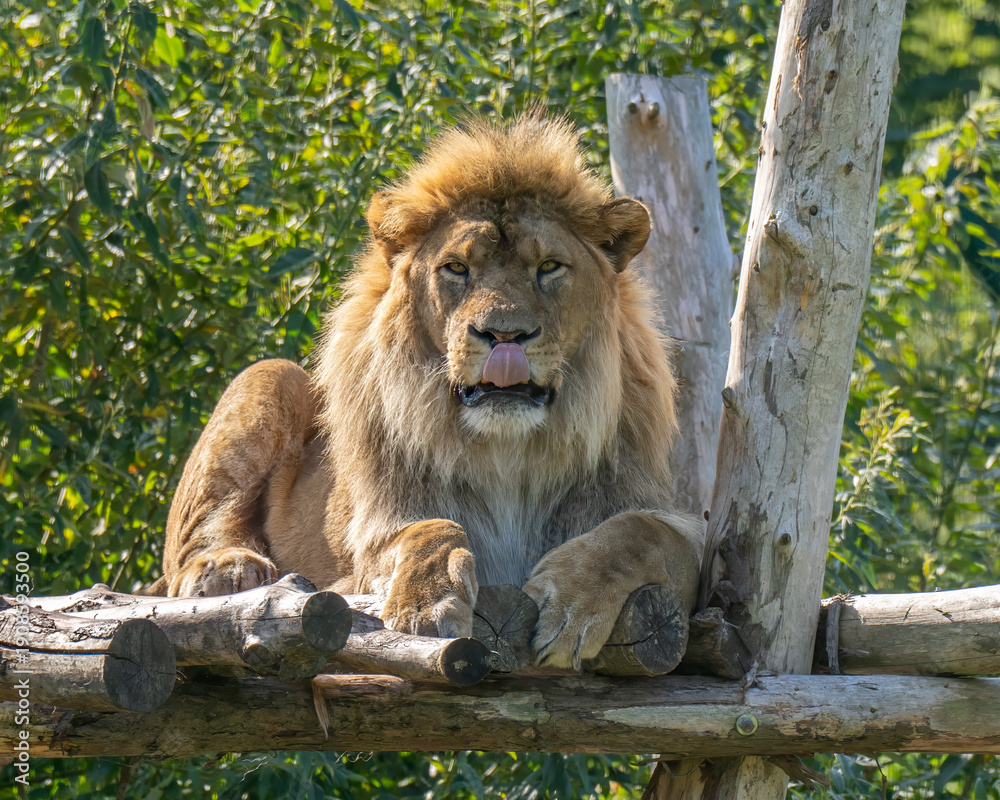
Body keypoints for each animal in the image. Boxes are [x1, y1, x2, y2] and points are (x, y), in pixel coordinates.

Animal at [160, 114, 703, 669]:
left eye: (549, 267)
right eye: (457, 268)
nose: (503, 335)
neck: (510, 456)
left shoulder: (672, 532)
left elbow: (643, 533)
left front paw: (572, 601)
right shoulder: (372, 544)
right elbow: (428, 529)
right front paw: (426, 602)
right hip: (270, 376)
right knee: (191, 547)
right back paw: (226, 567)